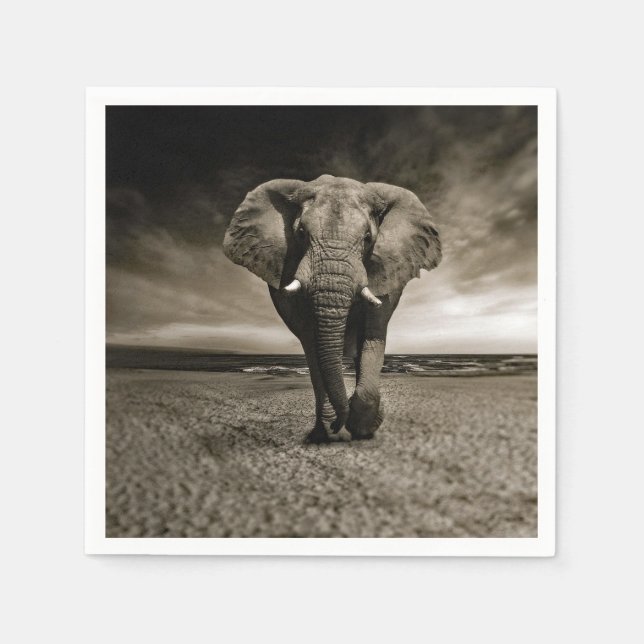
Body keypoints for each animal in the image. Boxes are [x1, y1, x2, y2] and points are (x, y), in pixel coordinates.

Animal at [223, 174, 441, 443]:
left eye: (368, 238)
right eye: (301, 234)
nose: (339, 424)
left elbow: (373, 334)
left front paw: (362, 427)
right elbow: (311, 341)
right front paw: (331, 431)